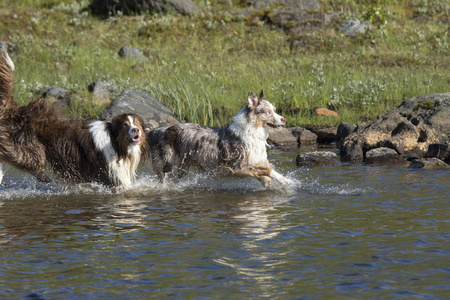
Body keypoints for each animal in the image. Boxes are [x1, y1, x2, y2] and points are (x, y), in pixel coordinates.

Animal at [0, 50, 148, 189]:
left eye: (136, 124)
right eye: (125, 125)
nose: (136, 130)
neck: (116, 144)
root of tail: (18, 111)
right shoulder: (113, 179)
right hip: (34, 153)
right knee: (10, 155)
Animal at [148, 90, 294, 186]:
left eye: (275, 110)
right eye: (268, 112)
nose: (284, 119)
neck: (253, 132)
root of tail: (159, 130)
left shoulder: (255, 163)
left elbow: (266, 176)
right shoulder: (239, 167)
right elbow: (269, 170)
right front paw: (287, 180)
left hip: (180, 168)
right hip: (168, 166)